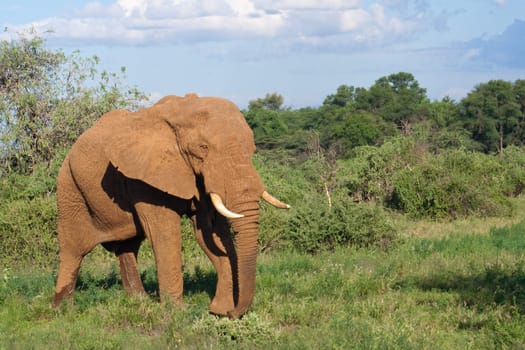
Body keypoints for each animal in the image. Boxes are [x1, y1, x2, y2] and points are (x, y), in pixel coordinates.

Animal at [52, 94, 288, 318]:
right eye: (203, 148)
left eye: (252, 149)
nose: (234, 313)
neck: (179, 111)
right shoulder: (143, 177)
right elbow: (165, 235)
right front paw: (178, 312)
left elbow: (210, 231)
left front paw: (219, 311)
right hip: (69, 187)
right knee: (74, 250)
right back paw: (63, 310)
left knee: (128, 247)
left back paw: (139, 302)